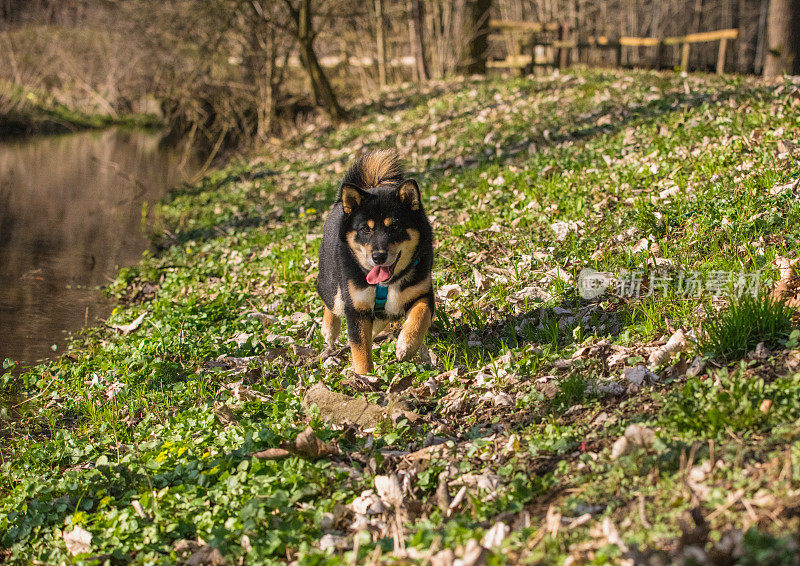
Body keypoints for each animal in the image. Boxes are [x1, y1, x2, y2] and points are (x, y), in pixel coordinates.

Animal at [316, 151, 434, 374]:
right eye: (365, 229)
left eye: (394, 227)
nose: (378, 257)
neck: (385, 285)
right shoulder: (356, 309)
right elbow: (360, 349)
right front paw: (365, 377)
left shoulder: (422, 293)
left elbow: (420, 316)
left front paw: (406, 345)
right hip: (332, 284)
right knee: (331, 301)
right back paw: (328, 329)